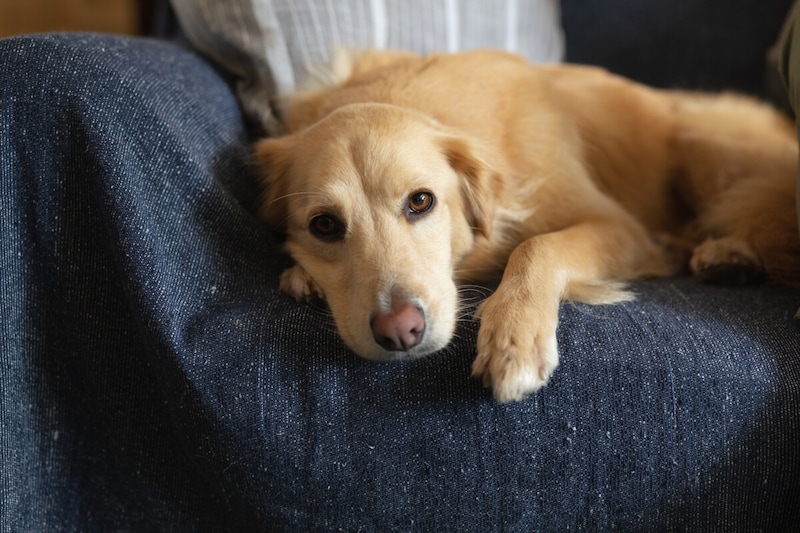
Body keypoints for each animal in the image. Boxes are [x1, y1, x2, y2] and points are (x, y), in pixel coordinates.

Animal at [255, 50, 800, 402]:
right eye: (325, 225)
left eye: (421, 202)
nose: (400, 332)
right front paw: (302, 276)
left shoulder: (617, 224)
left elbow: (537, 246)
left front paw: (513, 336)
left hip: (701, 144)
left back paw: (728, 253)